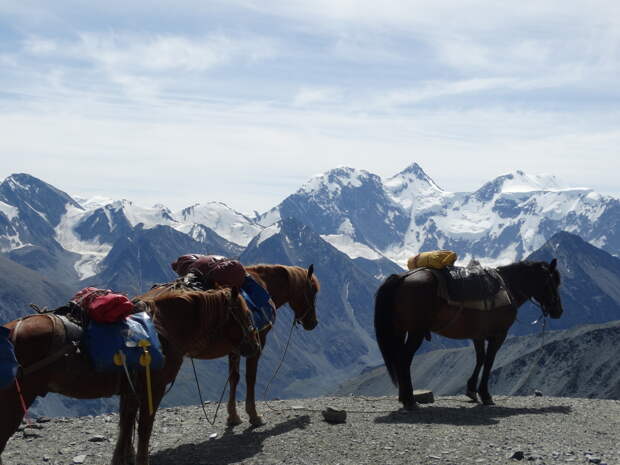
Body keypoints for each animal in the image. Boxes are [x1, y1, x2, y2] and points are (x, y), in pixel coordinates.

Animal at [0, 286, 256, 464]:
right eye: (244, 314)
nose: (254, 346)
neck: (163, 330)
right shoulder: (154, 389)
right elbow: (144, 429)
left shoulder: (130, 391)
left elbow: (125, 429)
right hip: (13, 403)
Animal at [376, 260, 564, 408]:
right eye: (552, 283)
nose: (558, 311)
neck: (508, 286)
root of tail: (402, 278)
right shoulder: (498, 335)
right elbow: (489, 361)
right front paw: (485, 395)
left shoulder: (478, 335)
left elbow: (480, 358)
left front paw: (472, 390)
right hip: (416, 332)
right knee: (404, 359)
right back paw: (409, 400)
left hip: (401, 331)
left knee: (399, 359)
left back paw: (404, 398)